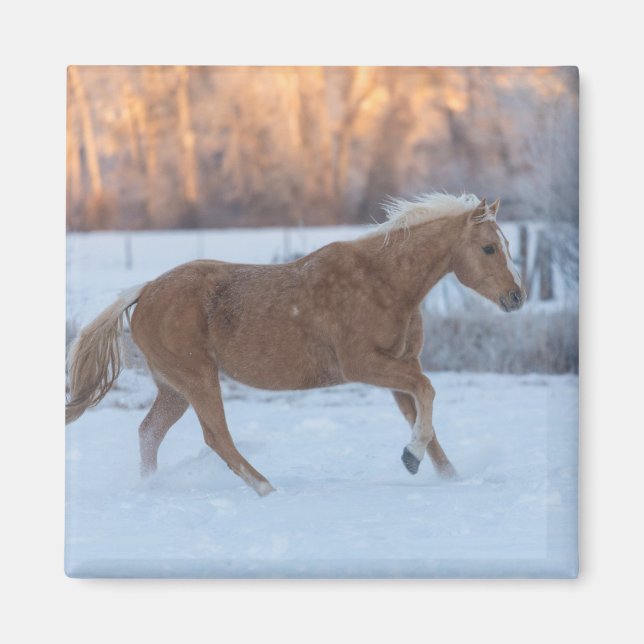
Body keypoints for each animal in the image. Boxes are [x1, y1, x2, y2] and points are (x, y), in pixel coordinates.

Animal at [66, 193, 525, 496]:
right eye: (488, 248)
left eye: (505, 245)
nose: (516, 297)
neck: (384, 282)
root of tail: (143, 291)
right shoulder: (364, 365)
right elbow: (428, 393)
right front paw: (410, 457)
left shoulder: (400, 368)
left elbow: (427, 422)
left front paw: (449, 477)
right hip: (197, 379)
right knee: (216, 437)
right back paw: (267, 489)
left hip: (174, 389)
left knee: (149, 432)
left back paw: (151, 486)